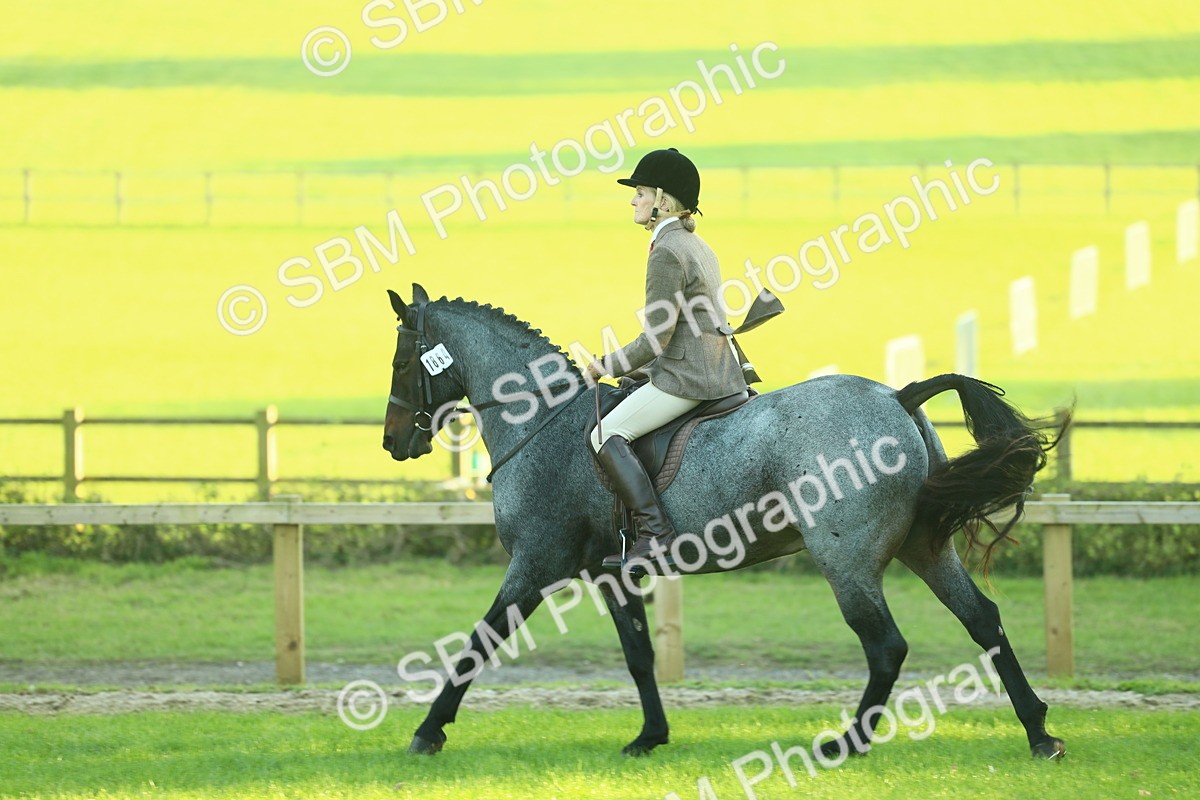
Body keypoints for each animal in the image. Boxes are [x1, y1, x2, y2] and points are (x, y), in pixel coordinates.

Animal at [381, 283, 1068, 761]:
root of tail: (897, 396)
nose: (392, 443)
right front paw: (650, 737)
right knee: (983, 620)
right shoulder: (609, 573)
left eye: (400, 362)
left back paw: (846, 744)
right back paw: (1039, 733)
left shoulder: (535, 565)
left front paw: (427, 732)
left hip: (845, 560)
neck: (542, 420)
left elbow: (478, 643)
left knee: (886, 646)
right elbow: (639, 655)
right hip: (924, 547)